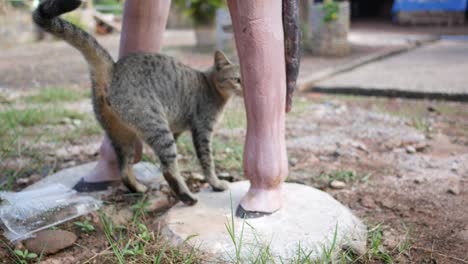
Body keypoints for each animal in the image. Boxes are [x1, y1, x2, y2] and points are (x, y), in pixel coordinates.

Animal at [33, 0, 241, 205]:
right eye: (237, 79)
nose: (243, 87)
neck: (211, 85)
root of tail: (114, 69)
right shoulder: (202, 130)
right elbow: (207, 162)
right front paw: (216, 183)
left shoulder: (177, 128)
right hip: (156, 125)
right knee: (168, 168)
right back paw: (187, 196)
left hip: (122, 134)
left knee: (124, 169)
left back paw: (139, 188)